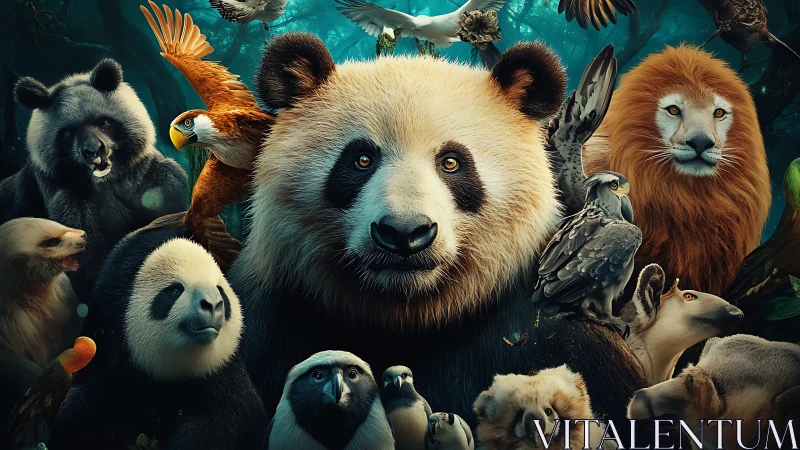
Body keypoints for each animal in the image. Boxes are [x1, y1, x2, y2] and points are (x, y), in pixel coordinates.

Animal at [0, 59, 187, 300]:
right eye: (67, 133)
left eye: (104, 122)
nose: (94, 151)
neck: (108, 182)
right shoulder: (66, 199)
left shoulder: (150, 181)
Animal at [50, 224, 266, 449]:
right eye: (175, 291)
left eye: (220, 291)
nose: (213, 304)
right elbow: (78, 417)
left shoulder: (222, 373)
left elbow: (230, 418)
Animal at [228, 31, 649, 434]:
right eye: (361, 160)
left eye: (451, 162)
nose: (404, 233)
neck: (409, 314)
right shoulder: (273, 316)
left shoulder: (549, 335)